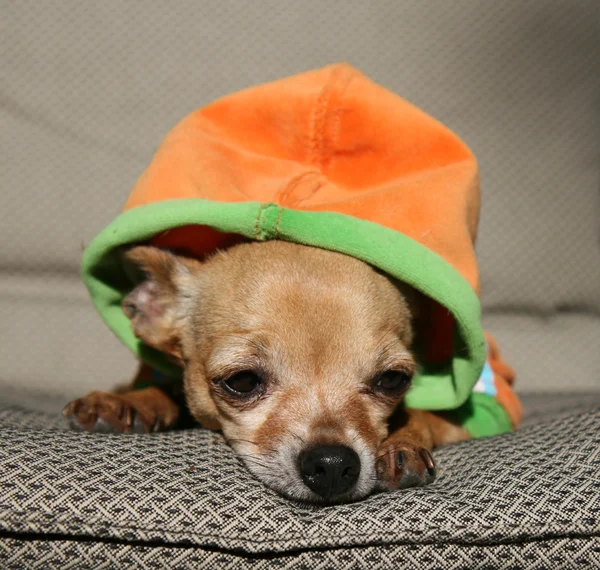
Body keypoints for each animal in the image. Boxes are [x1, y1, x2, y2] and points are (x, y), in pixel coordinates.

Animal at [64, 240, 468, 502]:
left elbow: (421, 415)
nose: (333, 463)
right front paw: (129, 402)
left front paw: (402, 443)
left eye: (393, 380)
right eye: (242, 381)